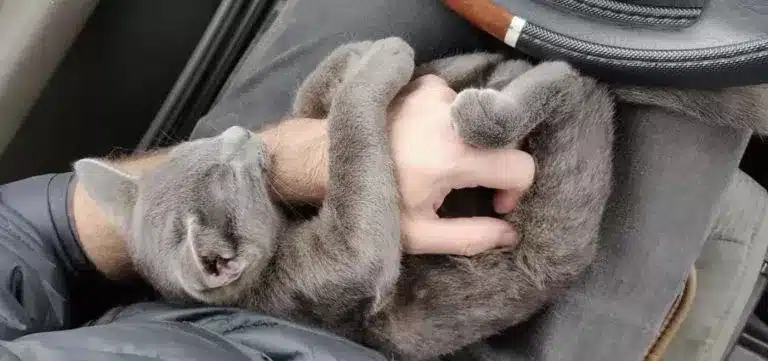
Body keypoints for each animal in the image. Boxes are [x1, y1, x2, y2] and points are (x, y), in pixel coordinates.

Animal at [73, 37, 768, 360]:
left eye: (211, 146)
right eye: (230, 170)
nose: (243, 135)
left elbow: (313, 99)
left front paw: (361, 59)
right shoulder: (330, 272)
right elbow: (352, 146)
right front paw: (386, 57)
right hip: (561, 205)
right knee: (566, 86)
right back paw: (514, 90)